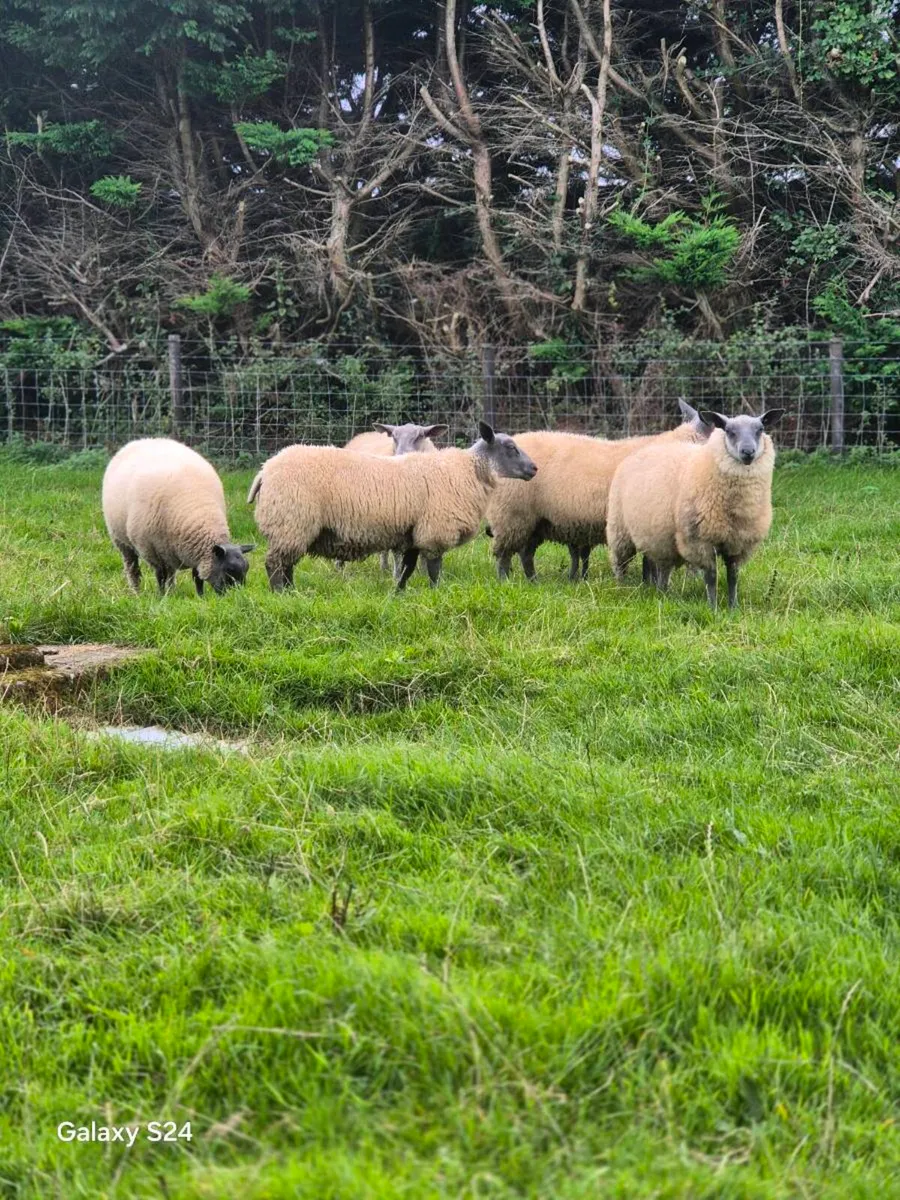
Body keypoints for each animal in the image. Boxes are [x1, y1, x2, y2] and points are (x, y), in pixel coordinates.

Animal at [102, 438, 254, 596]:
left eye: (247, 568)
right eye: (229, 569)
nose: (238, 596)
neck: (201, 512)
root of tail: (141, 440)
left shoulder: (196, 553)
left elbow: (197, 577)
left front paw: (200, 596)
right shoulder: (152, 551)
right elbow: (160, 576)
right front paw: (161, 596)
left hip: (167, 549)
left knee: (170, 572)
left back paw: (171, 591)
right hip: (122, 542)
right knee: (133, 569)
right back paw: (137, 593)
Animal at [485, 400, 711, 582]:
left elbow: (649, 563)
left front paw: (649, 583)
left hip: (535, 521)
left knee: (526, 554)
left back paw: (533, 581)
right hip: (511, 515)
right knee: (504, 554)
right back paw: (506, 582)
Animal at [606, 409, 784, 610]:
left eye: (760, 429)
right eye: (729, 431)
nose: (748, 452)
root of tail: (642, 449)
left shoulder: (737, 543)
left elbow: (733, 577)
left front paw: (733, 607)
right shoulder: (701, 541)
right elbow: (711, 576)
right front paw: (713, 608)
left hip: (656, 534)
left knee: (658, 564)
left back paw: (659, 591)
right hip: (620, 530)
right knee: (621, 562)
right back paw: (623, 586)